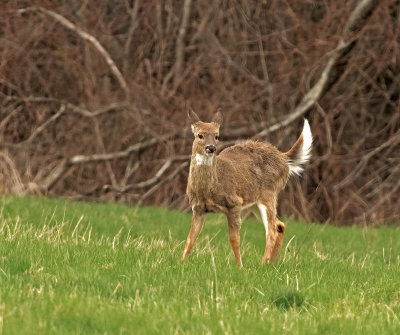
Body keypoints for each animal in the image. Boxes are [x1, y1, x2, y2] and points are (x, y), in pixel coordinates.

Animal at [182, 110, 312, 268]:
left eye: (217, 135)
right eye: (199, 135)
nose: (211, 148)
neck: (209, 188)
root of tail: (284, 158)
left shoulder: (234, 203)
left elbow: (234, 239)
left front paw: (239, 267)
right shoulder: (198, 209)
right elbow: (190, 239)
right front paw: (181, 262)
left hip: (268, 195)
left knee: (272, 231)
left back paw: (263, 264)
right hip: (254, 203)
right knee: (279, 225)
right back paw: (273, 263)